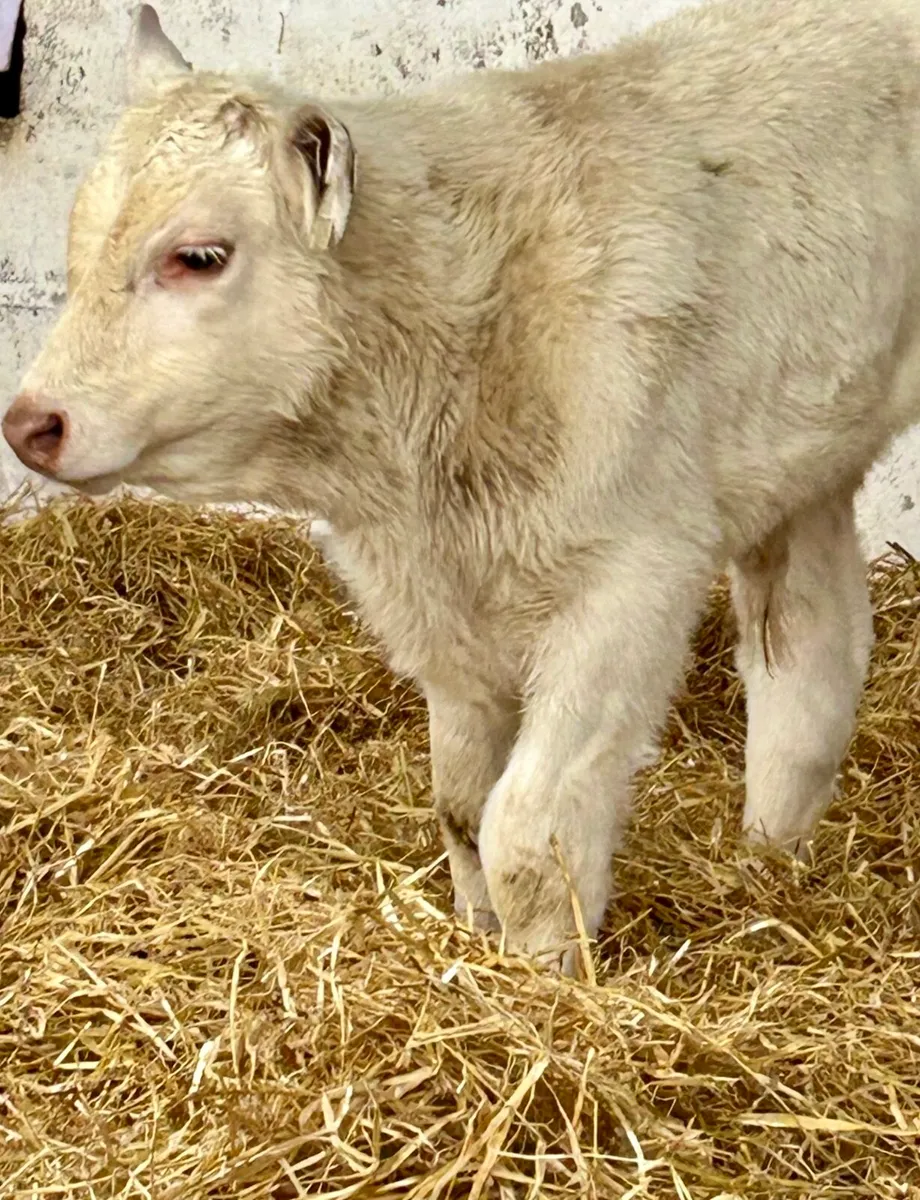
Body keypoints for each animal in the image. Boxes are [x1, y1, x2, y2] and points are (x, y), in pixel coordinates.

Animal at [5, 0, 920, 974]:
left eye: (200, 254)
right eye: (75, 249)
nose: (29, 423)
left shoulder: (629, 583)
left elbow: (527, 829)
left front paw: (543, 981)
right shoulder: (437, 617)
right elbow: (462, 807)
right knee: (811, 661)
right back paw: (768, 865)